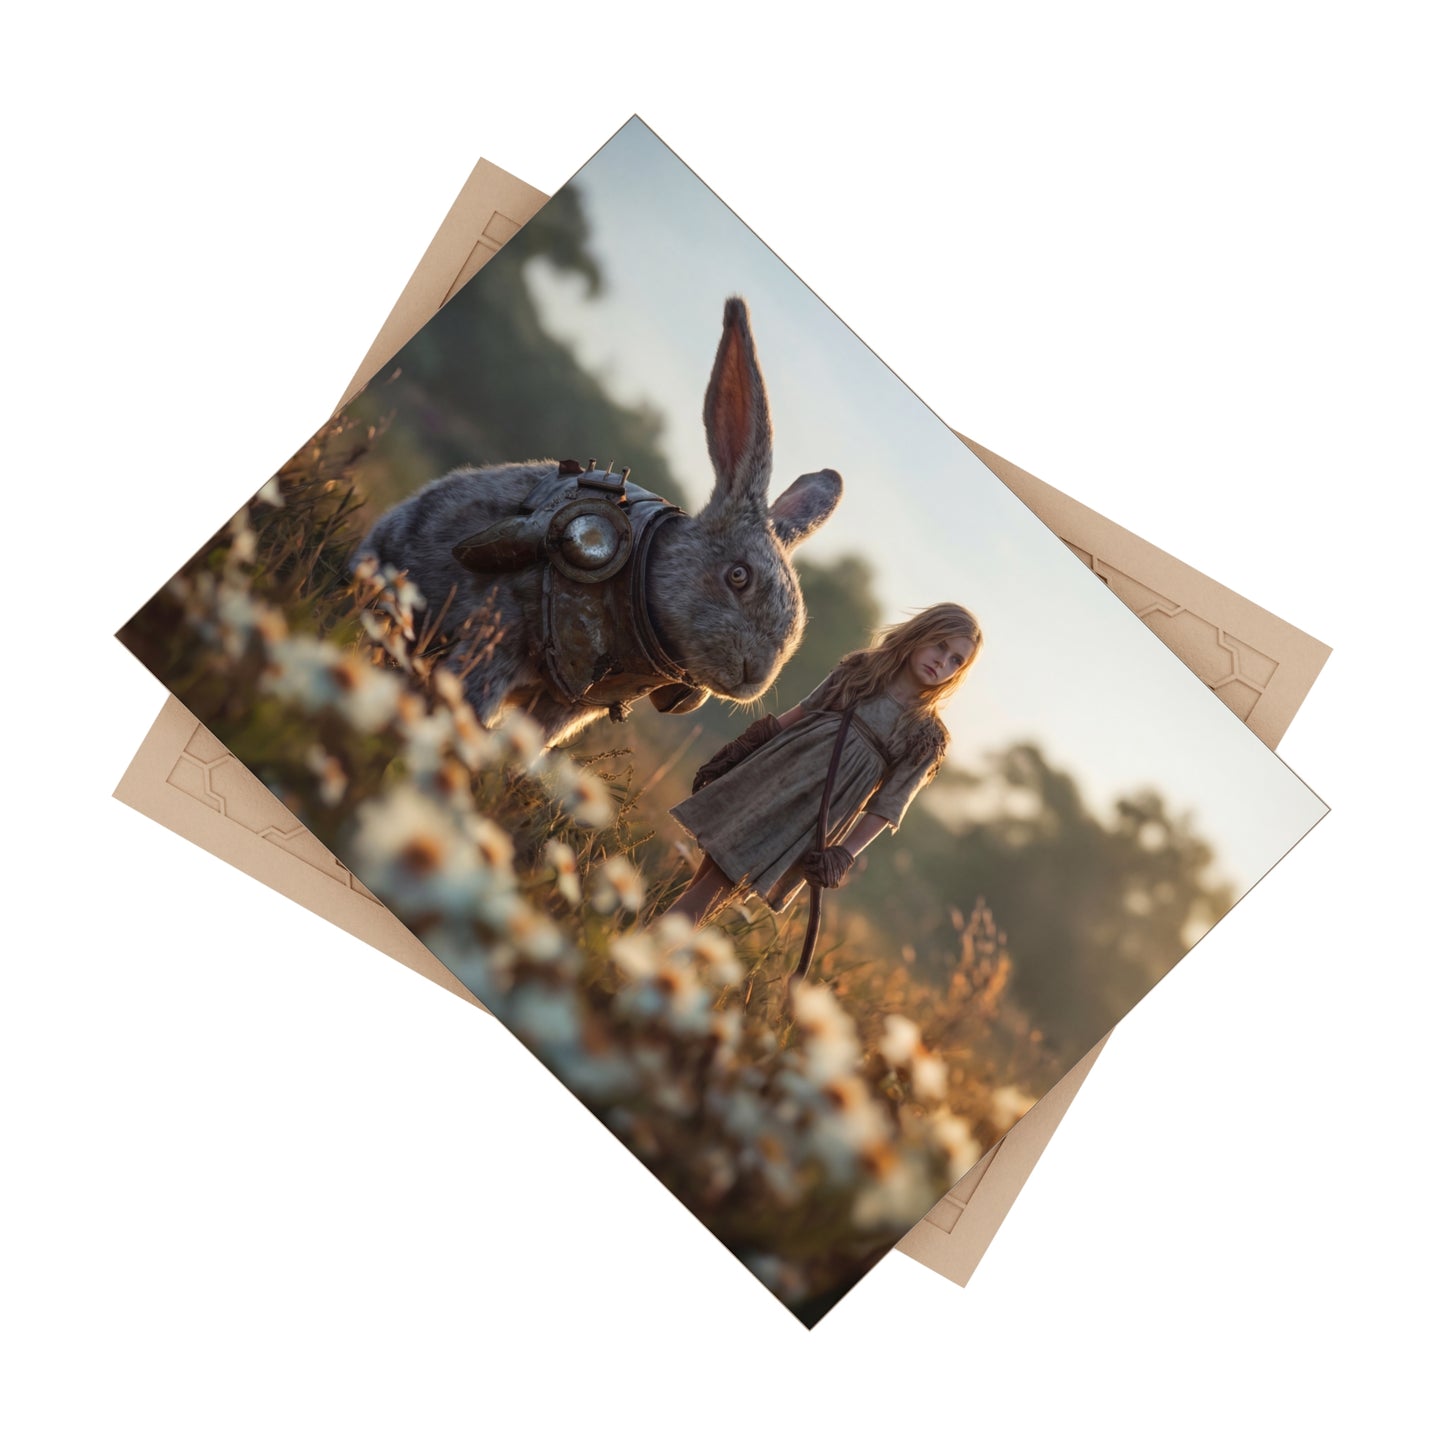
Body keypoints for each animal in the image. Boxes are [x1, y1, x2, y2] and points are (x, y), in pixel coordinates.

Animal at [354, 296, 843, 748]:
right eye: (738, 576)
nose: (754, 676)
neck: (642, 575)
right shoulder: (499, 635)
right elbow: (471, 698)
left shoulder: (568, 705)